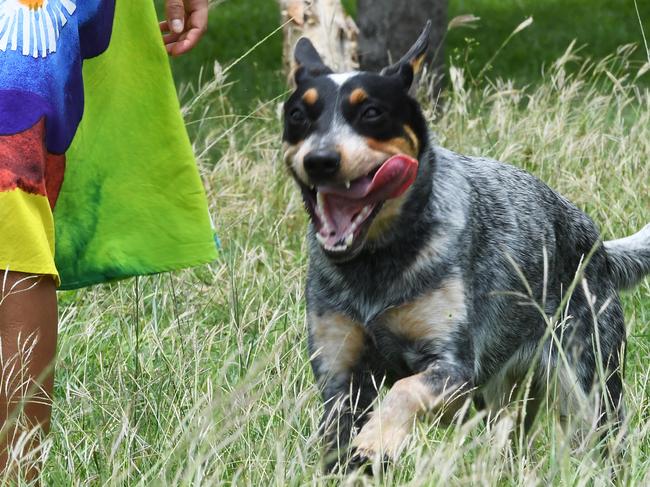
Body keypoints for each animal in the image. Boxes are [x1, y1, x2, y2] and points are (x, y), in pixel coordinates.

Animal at [280, 20, 648, 472]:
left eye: (372, 112)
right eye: (298, 115)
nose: (320, 160)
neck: (376, 263)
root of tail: (599, 246)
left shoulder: (454, 367)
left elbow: (405, 389)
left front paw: (378, 440)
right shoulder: (339, 374)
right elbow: (340, 440)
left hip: (587, 388)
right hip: (501, 397)